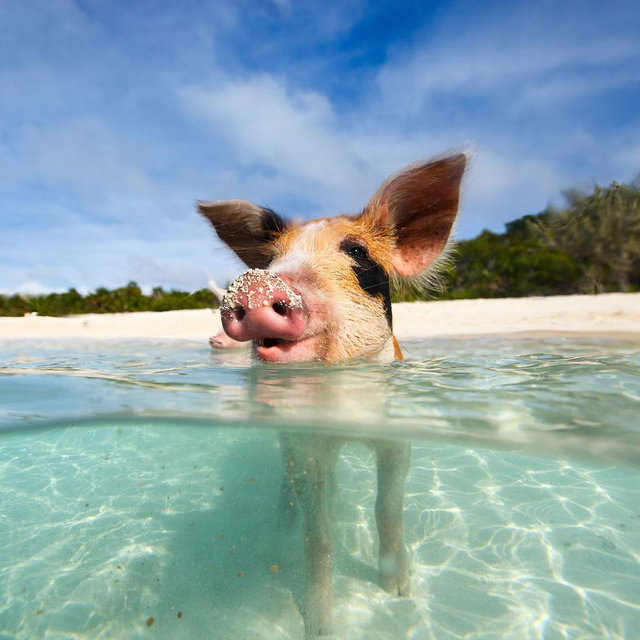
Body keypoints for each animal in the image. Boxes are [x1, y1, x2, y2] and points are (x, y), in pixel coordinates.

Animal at [198, 152, 467, 637]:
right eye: (271, 258)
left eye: (357, 251)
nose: (257, 282)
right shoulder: (305, 444)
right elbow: (317, 537)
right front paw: (321, 627)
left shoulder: (397, 438)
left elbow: (387, 506)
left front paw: (399, 589)